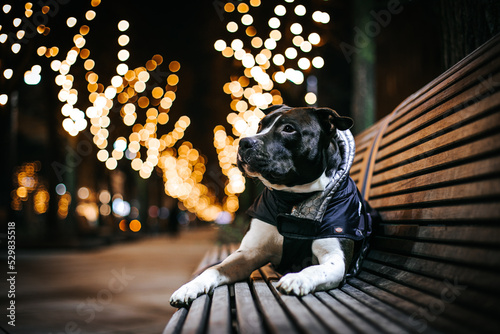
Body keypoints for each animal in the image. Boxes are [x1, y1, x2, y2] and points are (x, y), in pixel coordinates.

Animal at [171, 105, 372, 306]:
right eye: (260, 125)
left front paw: (298, 278)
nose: (244, 142)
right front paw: (190, 286)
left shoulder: (336, 259)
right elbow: (215, 269)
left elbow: (315, 269)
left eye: (288, 129)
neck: (293, 198)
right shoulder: (248, 253)